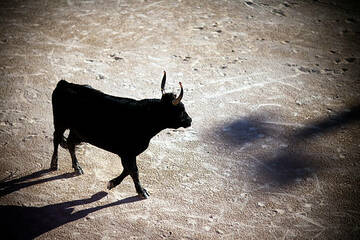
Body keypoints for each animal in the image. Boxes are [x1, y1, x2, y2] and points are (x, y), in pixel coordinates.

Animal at [51, 71, 193, 199]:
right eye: (181, 110)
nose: (190, 120)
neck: (146, 117)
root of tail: (64, 83)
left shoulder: (127, 154)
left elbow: (128, 170)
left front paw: (112, 183)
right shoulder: (128, 153)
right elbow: (133, 171)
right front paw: (141, 191)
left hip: (76, 131)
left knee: (70, 143)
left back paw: (77, 167)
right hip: (60, 123)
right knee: (56, 138)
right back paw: (54, 164)